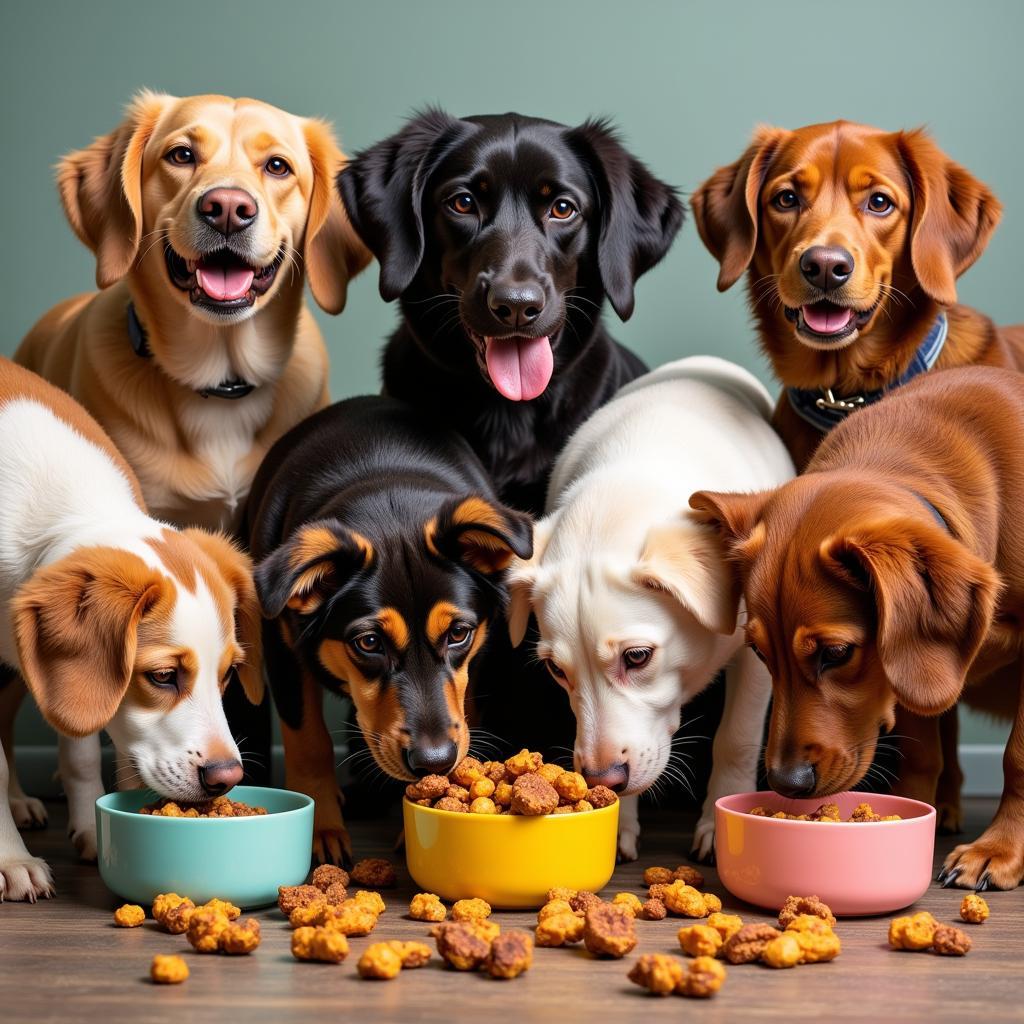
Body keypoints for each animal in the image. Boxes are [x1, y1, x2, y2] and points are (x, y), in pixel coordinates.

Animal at [0, 356, 262, 901]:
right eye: (162, 677)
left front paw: (89, 826)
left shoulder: (56, 675)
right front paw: (11, 859)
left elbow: (78, 746)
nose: (227, 777)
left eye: (228, 674)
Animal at [507, 356, 794, 860]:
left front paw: (720, 826)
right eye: (557, 671)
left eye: (637, 657)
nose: (603, 778)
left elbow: (736, 739)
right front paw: (616, 824)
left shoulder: (758, 655)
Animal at [688, 366, 1024, 888]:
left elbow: (1017, 759)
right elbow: (922, 751)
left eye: (836, 653)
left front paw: (998, 850)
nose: (786, 784)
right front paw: (911, 812)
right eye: (761, 654)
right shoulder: (906, 672)